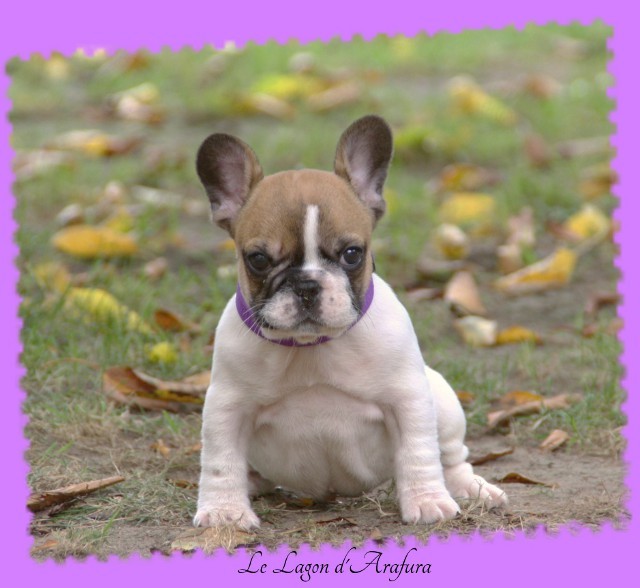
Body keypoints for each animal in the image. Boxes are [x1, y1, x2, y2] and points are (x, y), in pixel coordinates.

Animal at [193, 115, 507, 530]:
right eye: (258, 259)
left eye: (352, 254)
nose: (307, 284)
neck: (313, 346)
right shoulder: (227, 407)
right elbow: (220, 460)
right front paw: (223, 511)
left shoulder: (408, 398)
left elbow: (418, 452)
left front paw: (427, 501)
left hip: (443, 401)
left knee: (452, 456)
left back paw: (471, 488)